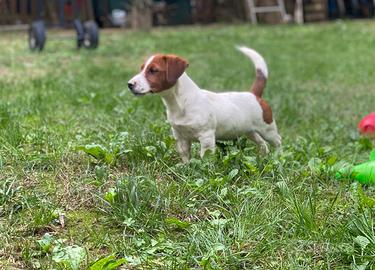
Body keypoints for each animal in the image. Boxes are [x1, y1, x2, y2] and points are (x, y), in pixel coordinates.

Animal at [128, 46, 280, 162]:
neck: (180, 103)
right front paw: (186, 168)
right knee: (262, 144)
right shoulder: (180, 138)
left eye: (153, 70)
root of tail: (254, 95)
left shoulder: (206, 137)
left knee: (277, 141)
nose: (129, 84)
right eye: (142, 69)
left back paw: (278, 158)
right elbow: (185, 156)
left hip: (267, 129)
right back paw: (262, 158)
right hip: (249, 131)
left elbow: (205, 158)